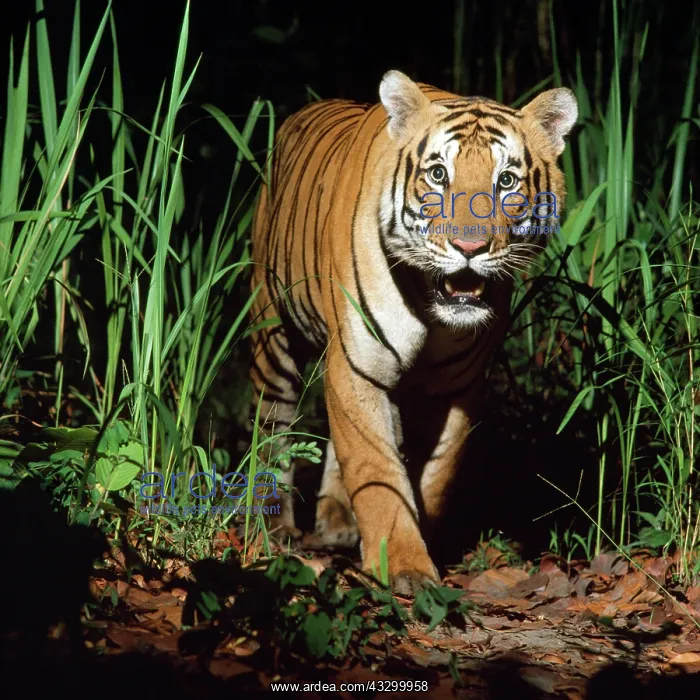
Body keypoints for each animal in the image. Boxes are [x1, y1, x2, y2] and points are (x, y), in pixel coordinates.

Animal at [249, 70, 577, 594]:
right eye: (438, 174)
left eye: (506, 181)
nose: (469, 247)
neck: (433, 310)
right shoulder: (358, 366)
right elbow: (377, 471)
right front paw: (403, 565)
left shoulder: (457, 386)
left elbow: (435, 474)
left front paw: (420, 539)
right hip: (272, 331)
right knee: (273, 425)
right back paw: (274, 526)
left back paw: (339, 522)